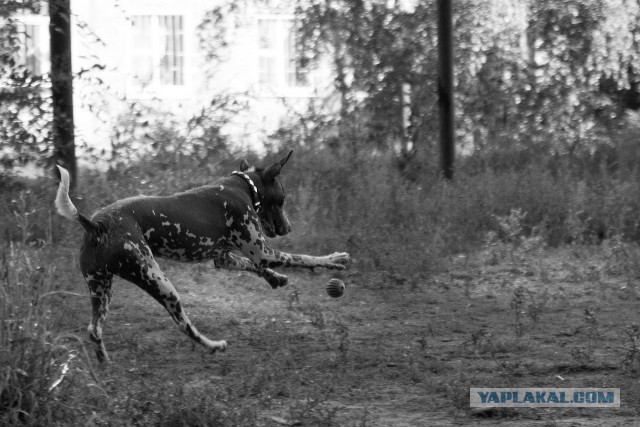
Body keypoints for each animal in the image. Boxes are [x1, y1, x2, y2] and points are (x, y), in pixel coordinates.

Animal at [56, 152, 350, 362]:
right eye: (282, 199)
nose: (288, 228)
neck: (243, 186)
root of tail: (96, 225)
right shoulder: (263, 252)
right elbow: (305, 258)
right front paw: (336, 259)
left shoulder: (227, 259)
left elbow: (253, 266)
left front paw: (275, 278)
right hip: (159, 282)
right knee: (183, 324)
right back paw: (213, 345)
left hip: (102, 290)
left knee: (94, 330)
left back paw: (104, 364)